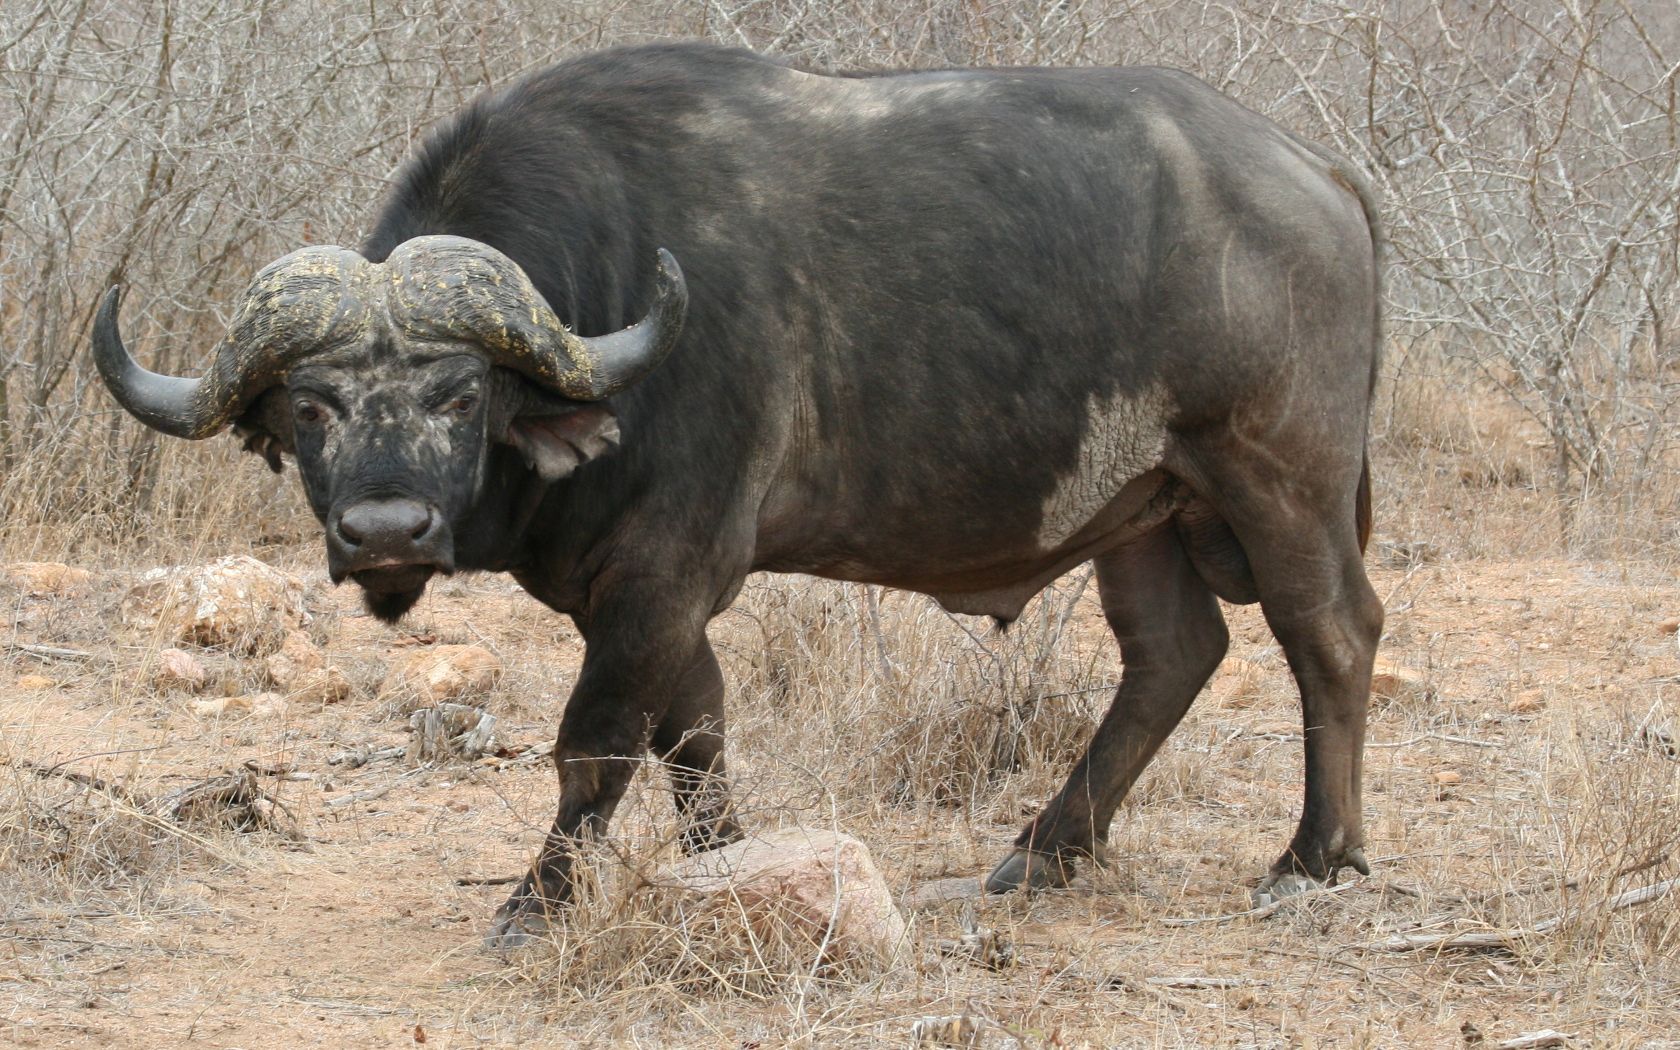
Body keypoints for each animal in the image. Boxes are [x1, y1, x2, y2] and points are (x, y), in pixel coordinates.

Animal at [93, 43, 1384, 947]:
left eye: (459, 394)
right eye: (310, 408)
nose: (384, 532)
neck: (612, 286)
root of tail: (1317, 173)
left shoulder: (662, 576)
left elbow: (596, 745)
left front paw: (537, 903)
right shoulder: (637, 593)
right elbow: (695, 735)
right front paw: (731, 869)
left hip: (1278, 478)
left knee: (1332, 634)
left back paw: (1312, 859)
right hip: (1144, 508)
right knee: (1174, 653)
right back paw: (1047, 851)